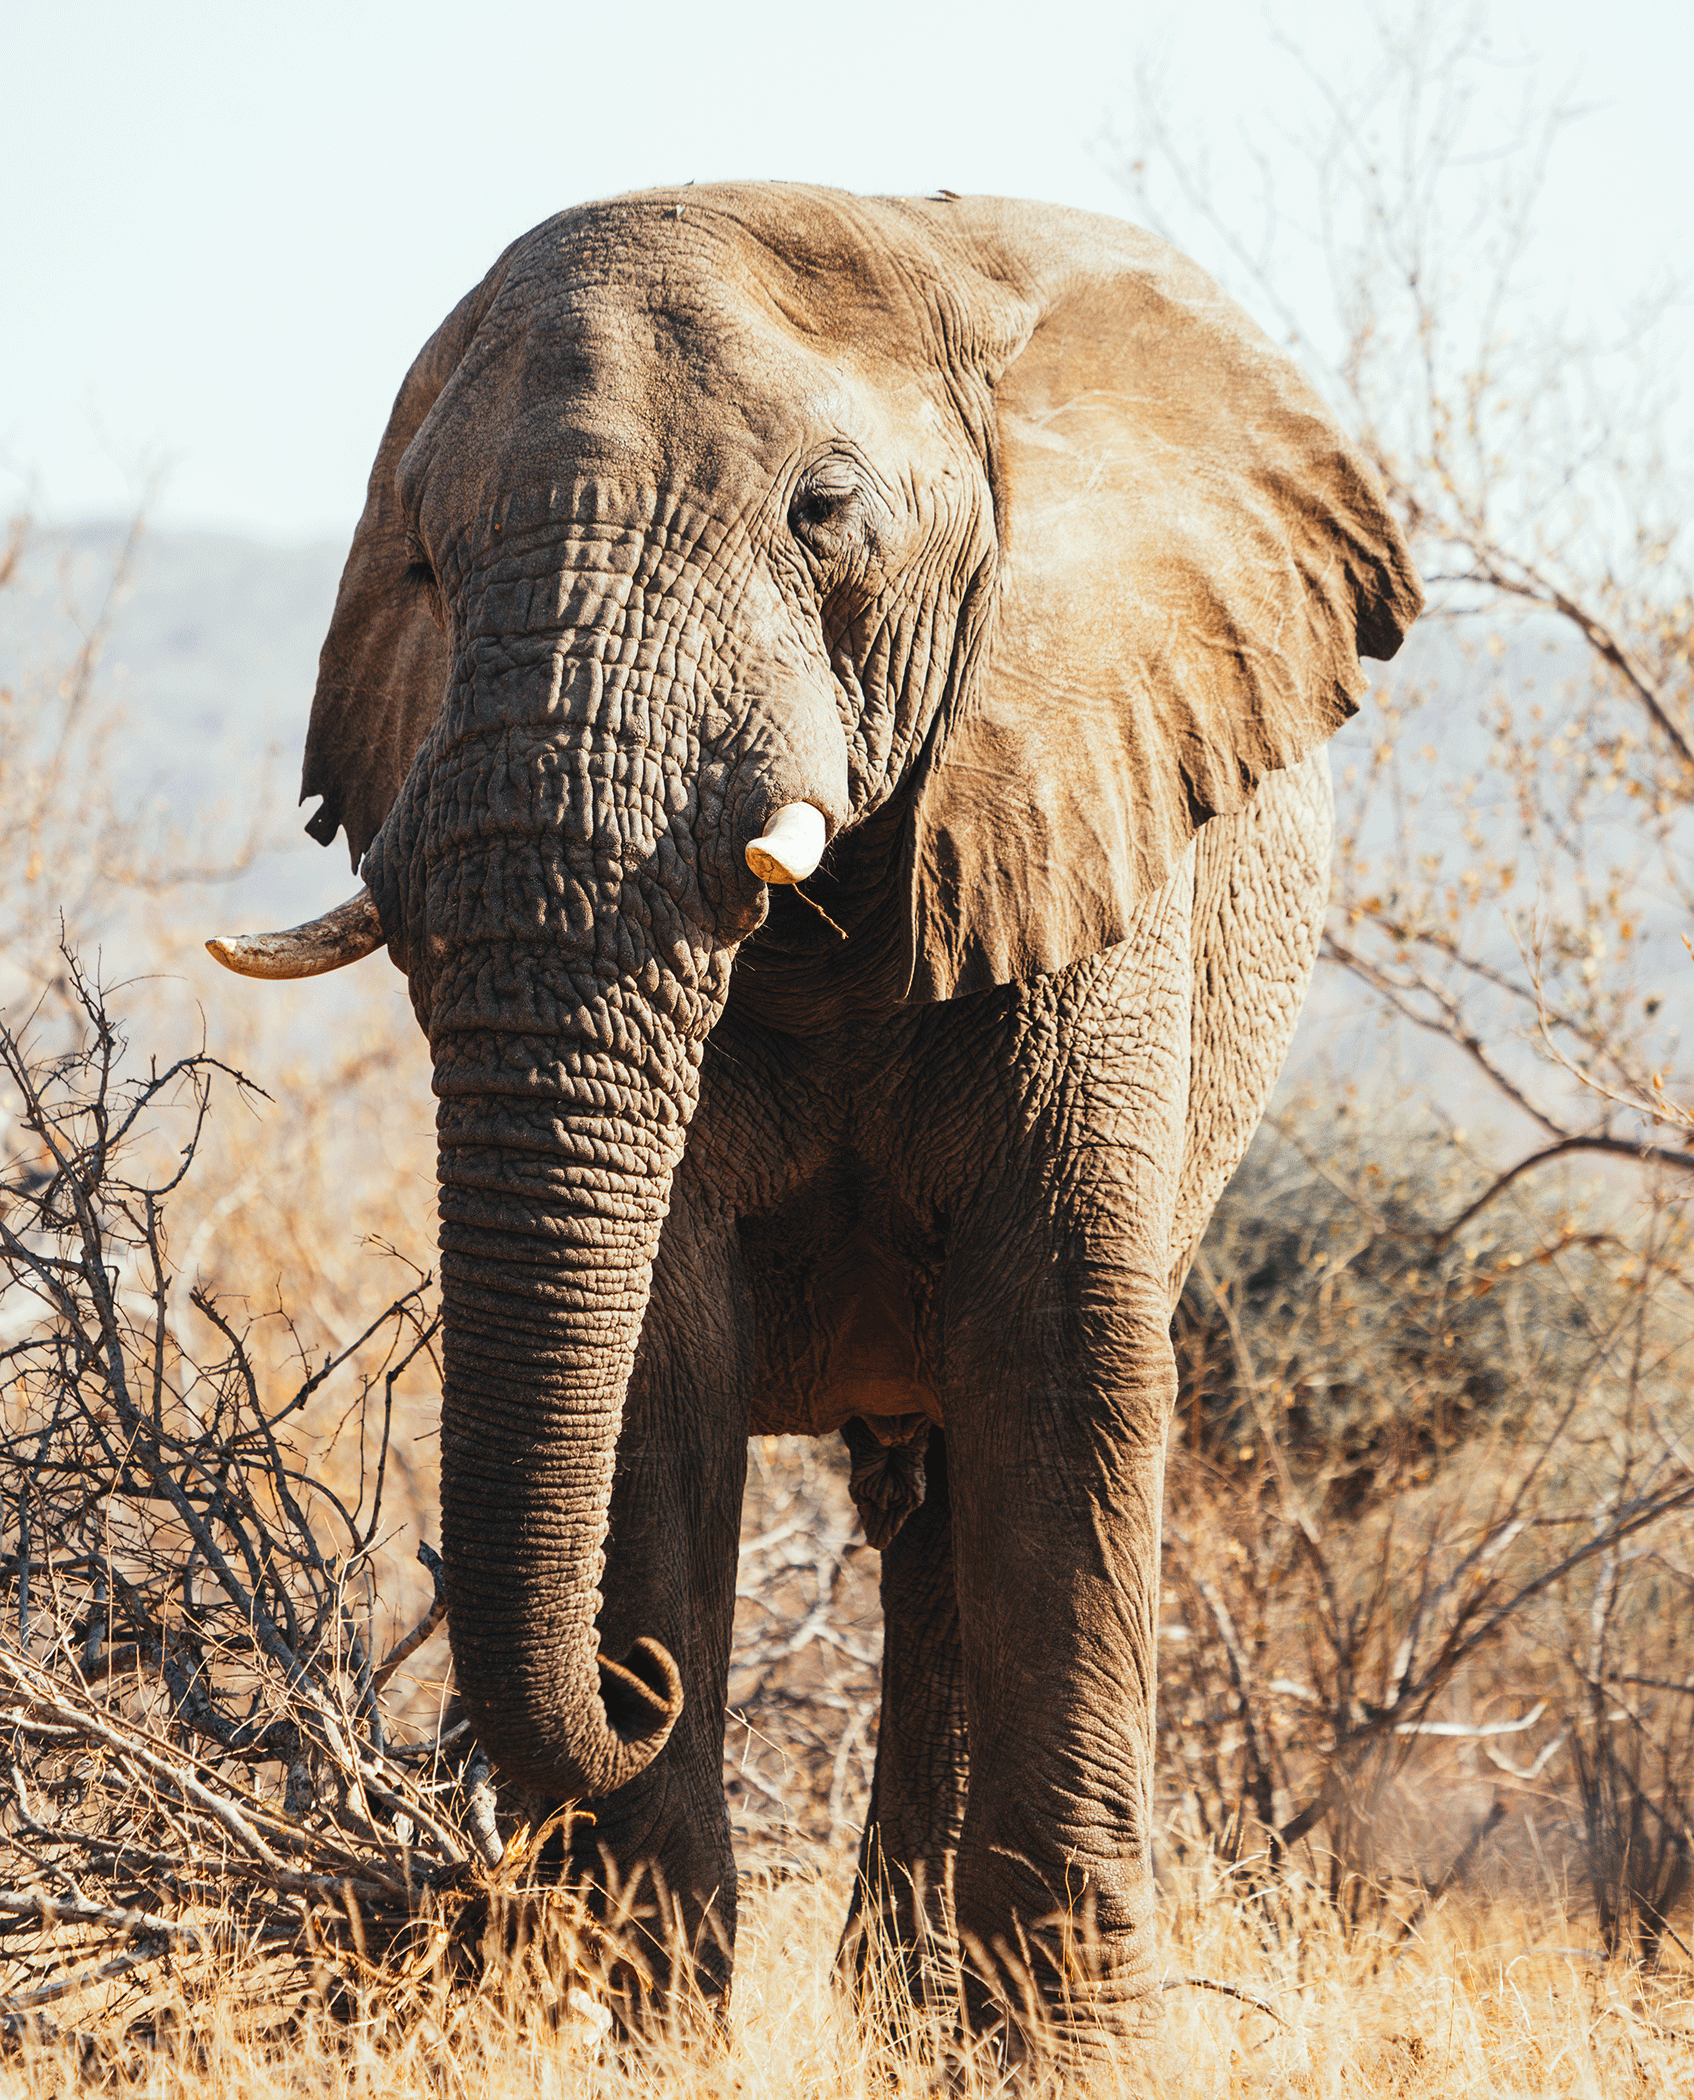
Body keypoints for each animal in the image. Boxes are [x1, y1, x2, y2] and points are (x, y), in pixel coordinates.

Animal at [210, 183, 1420, 2066]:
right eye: (418, 558)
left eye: (823, 516)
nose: (623, 1694)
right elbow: (654, 1367)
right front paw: (644, 2025)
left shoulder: (1074, 801)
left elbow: (1059, 1364)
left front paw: (1075, 2061)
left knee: (948, 1508)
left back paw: (929, 2021)